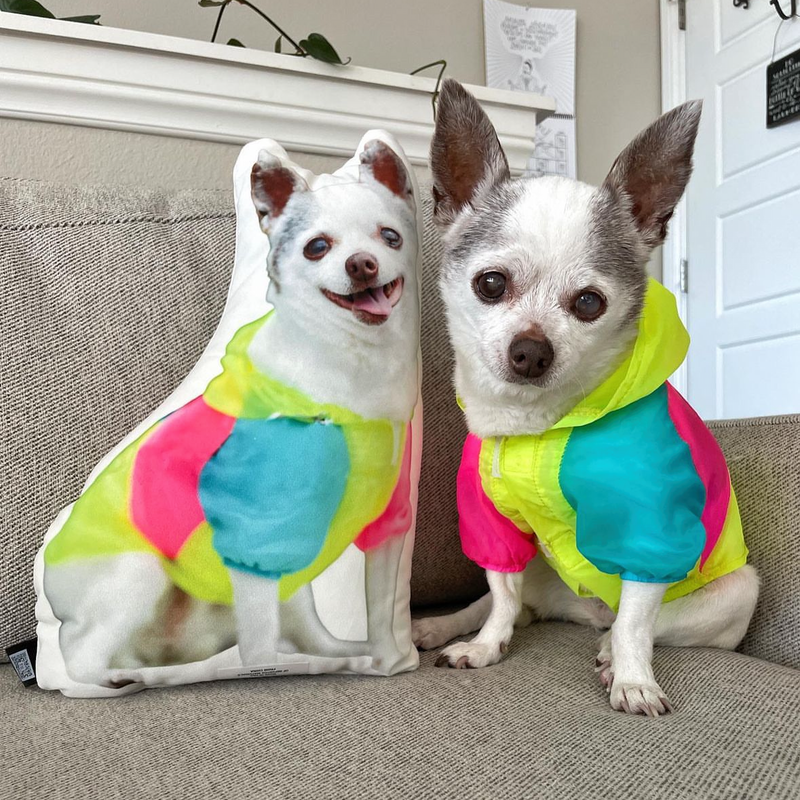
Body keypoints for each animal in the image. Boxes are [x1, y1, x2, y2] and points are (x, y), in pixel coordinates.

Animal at [42, 139, 420, 689]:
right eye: (317, 247)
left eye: (391, 237)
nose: (362, 264)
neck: (352, 368)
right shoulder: (253, 542)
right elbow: (259, 641)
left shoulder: (383, 528)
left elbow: (380, 611)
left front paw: (388, 660)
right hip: (139, 572)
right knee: (80, 651)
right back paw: (126, 676)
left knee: (304, 629)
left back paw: (338, 654)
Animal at [411, 79, 759, 717]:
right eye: (490, 284)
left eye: (589, 303)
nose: (531, 350)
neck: (537, 426)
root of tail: (581, 606)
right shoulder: (496, 526)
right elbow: (500, 594)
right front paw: (486, 645)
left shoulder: (648, 527)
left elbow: (637, 621)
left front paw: (633, 679)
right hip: (543, 573)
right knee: (514, 603)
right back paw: (446, 627)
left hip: (737, 591)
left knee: (639, 622)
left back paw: (608, 652)